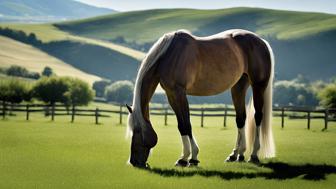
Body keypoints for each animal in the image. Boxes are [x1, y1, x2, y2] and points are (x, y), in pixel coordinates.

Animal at [126, 28, 276, 168]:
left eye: (137, 131)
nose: (133, 161)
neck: (168, 56)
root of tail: (261, 41)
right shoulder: (171, 95)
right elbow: (181, 125)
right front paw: (185, 158)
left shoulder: (179, 93)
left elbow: (186, 125)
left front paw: (190, 157)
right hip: (239, 86)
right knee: (241, 119)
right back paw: (236, 155)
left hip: (258, 86)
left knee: (258, 117)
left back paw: (254, 155)